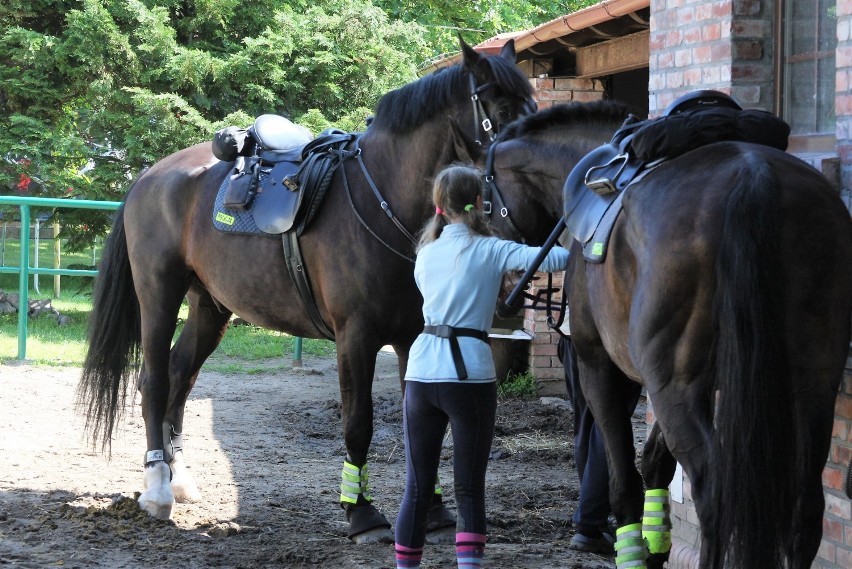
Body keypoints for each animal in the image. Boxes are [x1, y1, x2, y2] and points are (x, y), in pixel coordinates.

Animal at [76, 40, 536, 540]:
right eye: (502, 111)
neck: (381, 197)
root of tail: (148, 177)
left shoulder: (413, 336)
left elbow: (423, 424)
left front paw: (431, 510)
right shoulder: (355, 337)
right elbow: (358, 424)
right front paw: (361, 512)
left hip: (209, 307)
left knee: (181, 375)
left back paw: (179, 480)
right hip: (158, 294)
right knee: (155, 381)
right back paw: (158, 488)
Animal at [460, 103, 852, 568]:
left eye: (485, 204)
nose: (503, 287)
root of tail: (754, 179)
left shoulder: (601, 366)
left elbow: (623, 473)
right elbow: (654, 462)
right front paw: (656, 544)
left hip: (673, 385)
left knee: (714, 493)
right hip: (811, 384)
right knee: (805, 507)